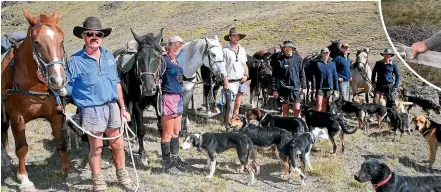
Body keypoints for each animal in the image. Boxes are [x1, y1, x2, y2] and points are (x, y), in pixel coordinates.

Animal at [1, 9, 77, 190]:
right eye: (36, 42)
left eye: (61, 40)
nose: (58, 80)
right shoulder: (17, 118)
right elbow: (22, 148)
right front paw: (24, 179)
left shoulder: (56, 114)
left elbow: (60, 143)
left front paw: (69, 171)